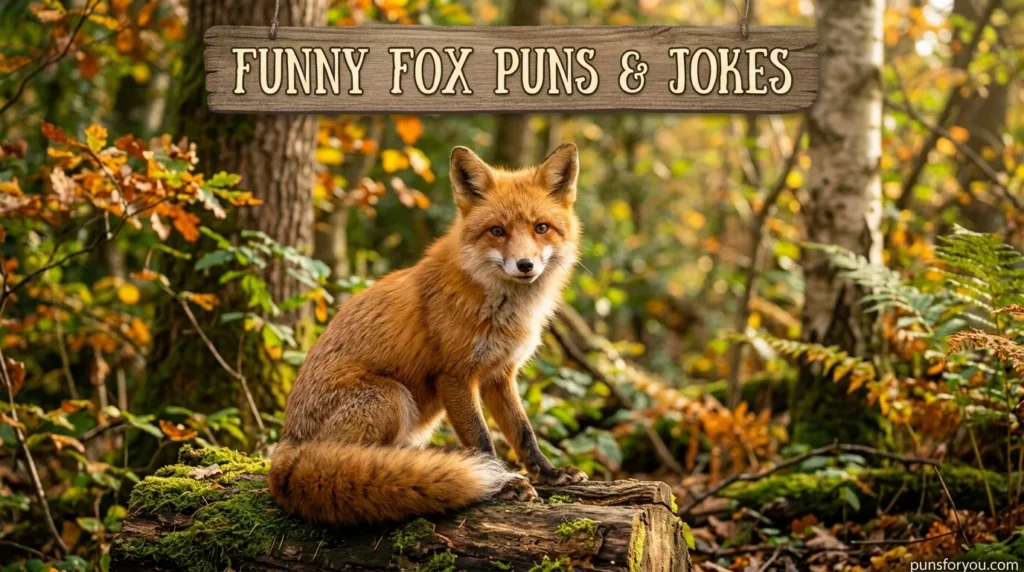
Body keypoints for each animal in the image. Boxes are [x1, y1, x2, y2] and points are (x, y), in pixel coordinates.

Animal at [268, 143, 588, 525]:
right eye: (497, 231)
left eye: (541, 228)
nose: (525, 265)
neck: (501, 307)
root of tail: (286, 449)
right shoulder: (455, 375)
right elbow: (482, 441)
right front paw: (503, 483)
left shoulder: (499, 375)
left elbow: (523, 432)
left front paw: (550, 473)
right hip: (390, 396)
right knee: (355, 459)